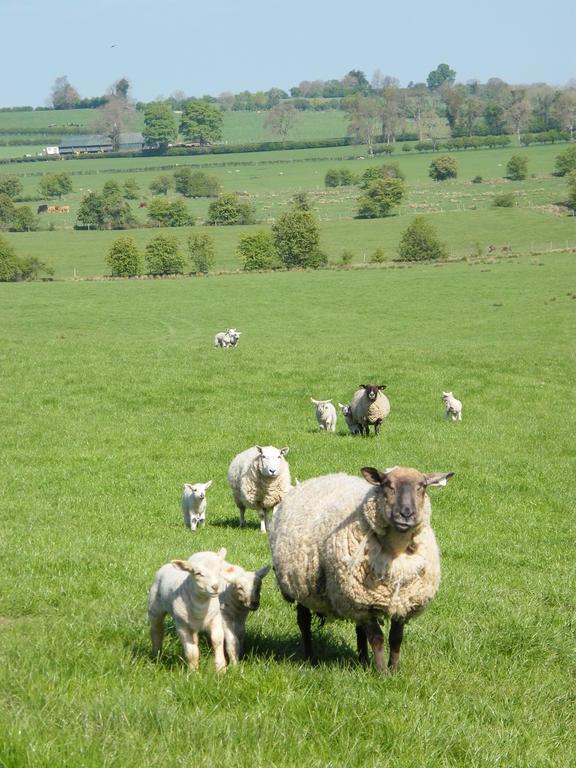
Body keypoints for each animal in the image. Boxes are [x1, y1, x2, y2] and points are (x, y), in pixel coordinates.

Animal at [147, 544, 228, 672]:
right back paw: (156, 655)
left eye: (219, 571)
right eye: (198, 573)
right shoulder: (182, 625)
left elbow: (217, 640)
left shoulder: (215, 618)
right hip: (154, 608)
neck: (201, 606)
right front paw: (193, 672)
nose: (215, 587)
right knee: (156, 630)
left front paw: (220, 669)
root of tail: (167, 565)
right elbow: (192, 651)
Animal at [270, 462, 454, 672]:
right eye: (387, 485)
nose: (406, 514)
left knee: (359, 630)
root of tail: (317, 479)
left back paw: (363, 660)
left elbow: (396, 638)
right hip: (302, 586)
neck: (396, 551)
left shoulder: (403, 600)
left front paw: (394, 670)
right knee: (304, 622)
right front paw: (382, 672)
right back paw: (311, 658)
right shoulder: (363, 603)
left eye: (422, 486)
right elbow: (378, 638)